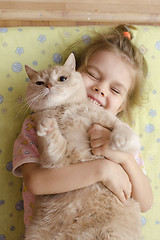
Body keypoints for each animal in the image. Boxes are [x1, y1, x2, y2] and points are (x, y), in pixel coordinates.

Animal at [24, 53, 141, 239]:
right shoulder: (57, 159)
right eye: (40, 83)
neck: (61, 109)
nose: (49, 85)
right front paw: (47, 127)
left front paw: (119, 140)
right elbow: (53, 145)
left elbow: (123, 129)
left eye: (62, 78)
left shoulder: (103, 117)